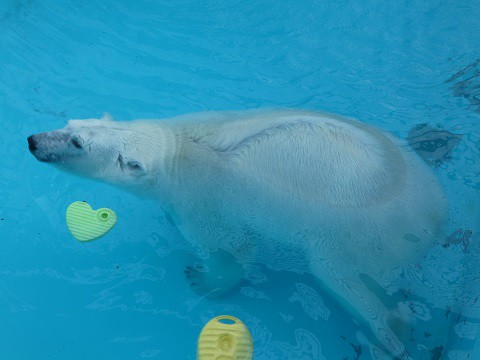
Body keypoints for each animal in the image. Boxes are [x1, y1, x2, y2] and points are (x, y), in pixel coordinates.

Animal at [28, 109, 444, 358]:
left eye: (77, 143)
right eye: (69, 124)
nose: (33, 141)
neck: (177, 151)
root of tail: (440, 213)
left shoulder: (206, 196)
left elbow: (231, 246)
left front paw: (204, 278)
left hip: (361, 238)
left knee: (342, 277)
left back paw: (387, 332)